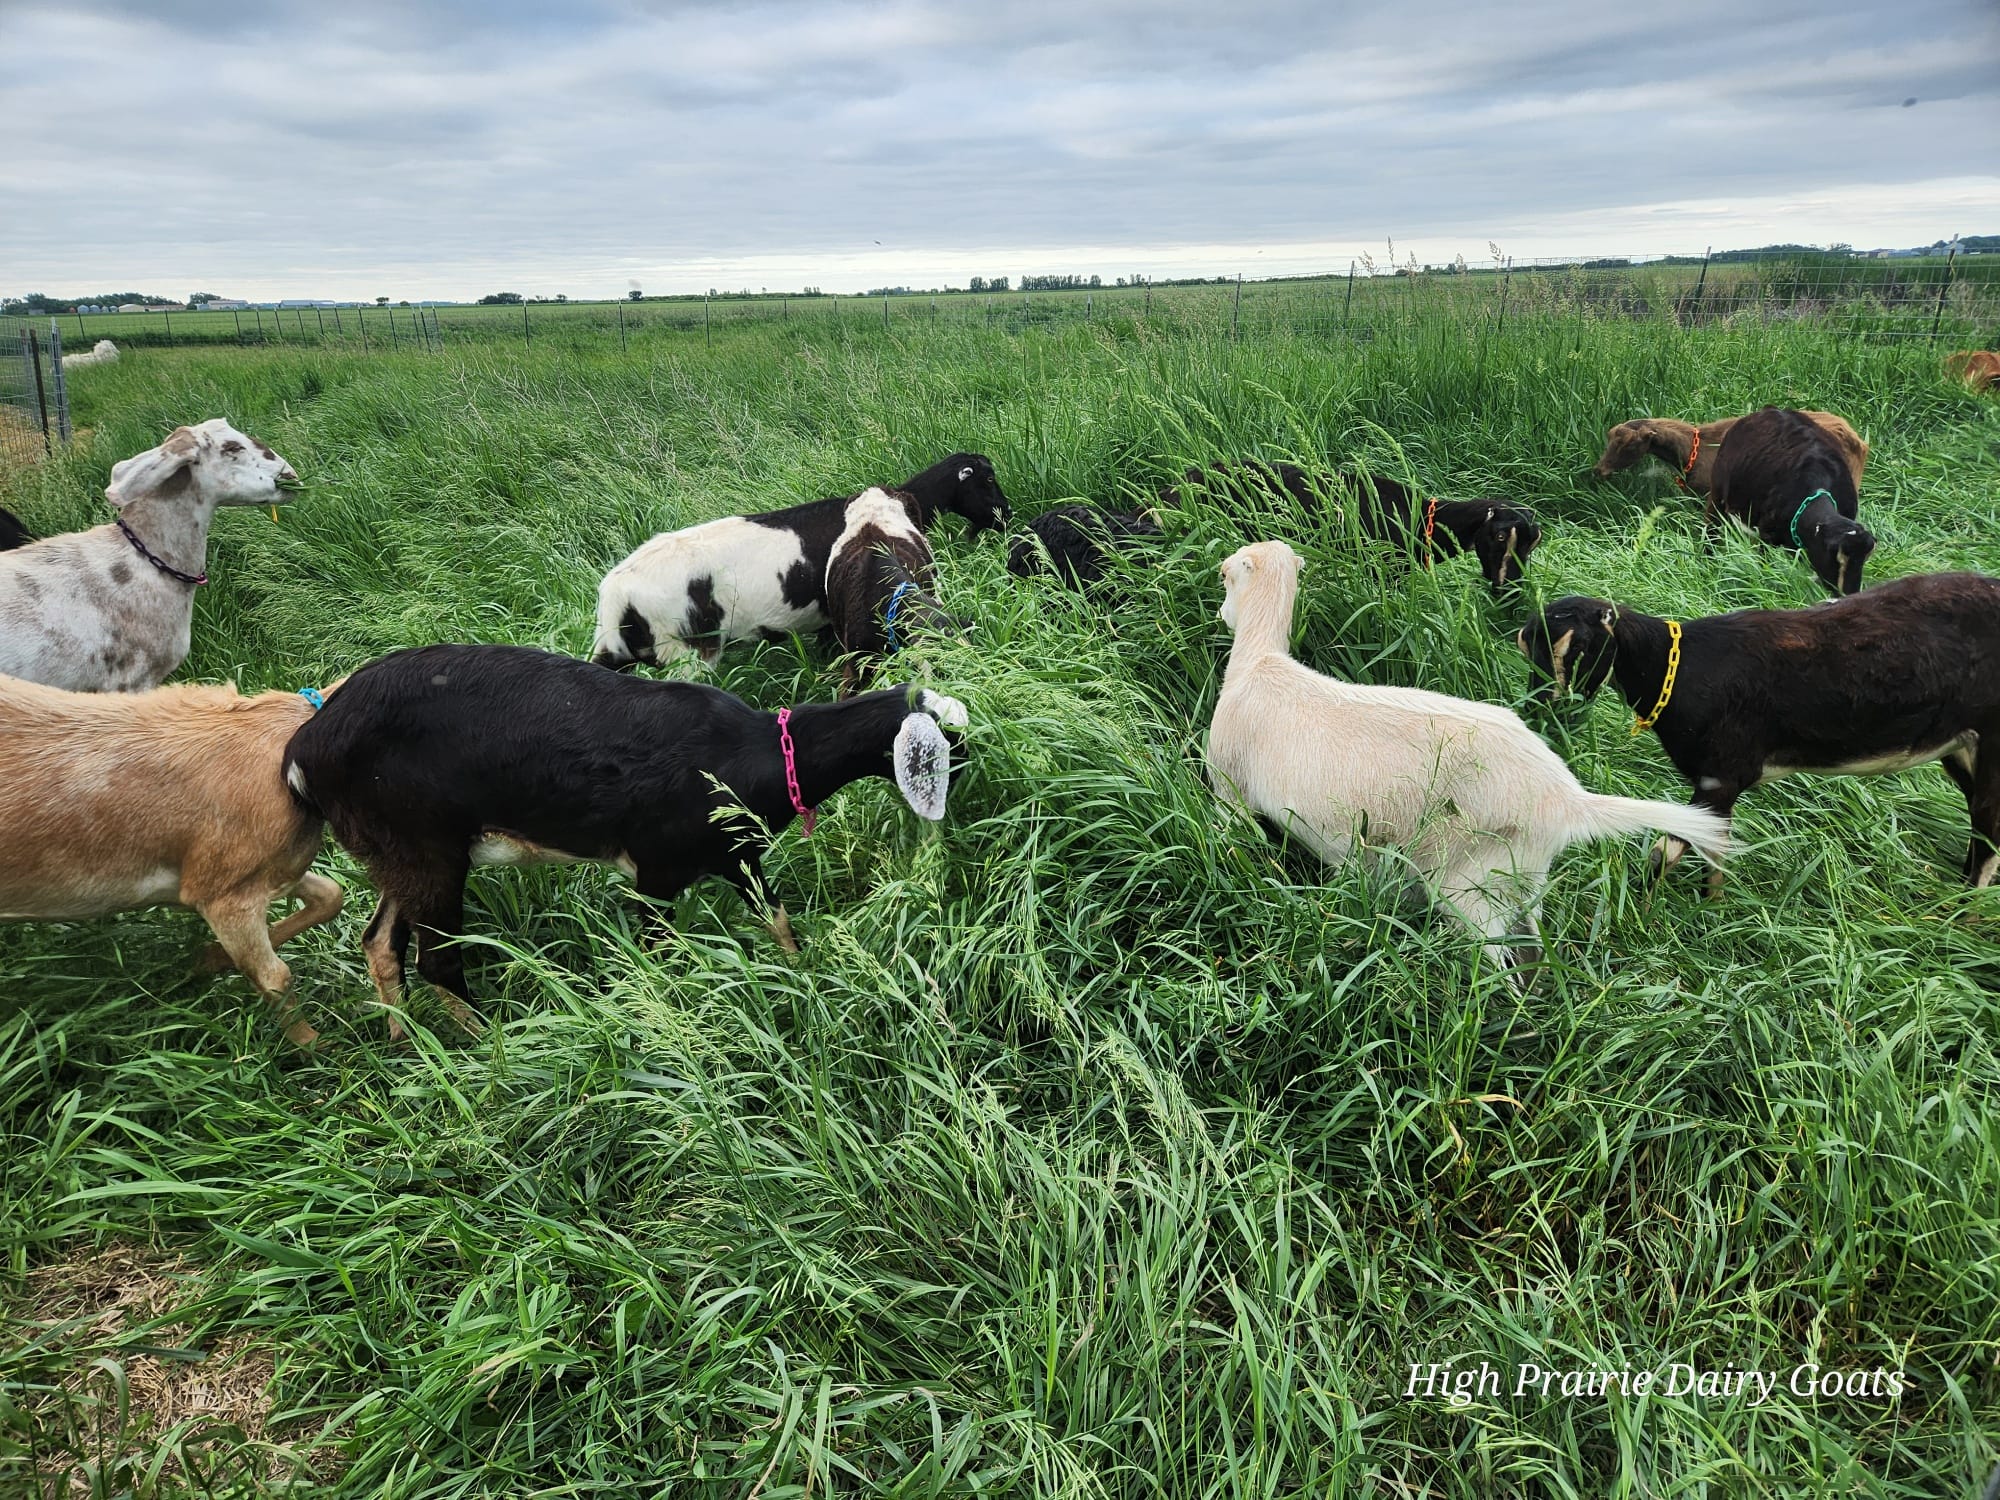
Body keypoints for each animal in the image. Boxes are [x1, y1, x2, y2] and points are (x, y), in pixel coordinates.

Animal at [0, 673, 342, 1047]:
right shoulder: (225, 892)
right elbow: (275, 977)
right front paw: (318, 1048)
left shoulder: (268, 871)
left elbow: (331, 896)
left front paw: (205, 959)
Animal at [282, 643, 967, 1038]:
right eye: (947, 749)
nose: (950, 829)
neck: (756, 755)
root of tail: (304, 749)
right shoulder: (656, 872)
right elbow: (657, 958)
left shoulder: (738, 855)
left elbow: (778, 921)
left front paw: (806, 978)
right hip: (426, 850)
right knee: (439, 960)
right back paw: (489, 1053)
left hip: (396, 853)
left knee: (380, 942)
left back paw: (408, 1044)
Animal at [1206, 540, 1727, 976]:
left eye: (1226, 575)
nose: (1220, 613)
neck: (1259, 662)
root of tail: (1566, 798)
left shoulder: (1228, 783)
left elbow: (1233, 834)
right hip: (1522, 875)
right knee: (1532, 944)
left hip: (1471, 880)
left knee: (1496, 957)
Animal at [1522, 573, 2000, 889]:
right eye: (1527, 646)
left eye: (1579, 647)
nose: (1541, 715)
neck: (1678, 673)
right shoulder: (1717, 783)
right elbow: (1709, 847)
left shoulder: (1723, 774)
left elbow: (1671, 851)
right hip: (1959, 747)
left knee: (1989, 833)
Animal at [1706, 406, 1874, 595]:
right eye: (1836, 558)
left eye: (1865, 559)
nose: (1848, 593)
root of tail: (1768, 410)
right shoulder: (1767, 534)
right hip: (1717, 494)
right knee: (1711, 527)